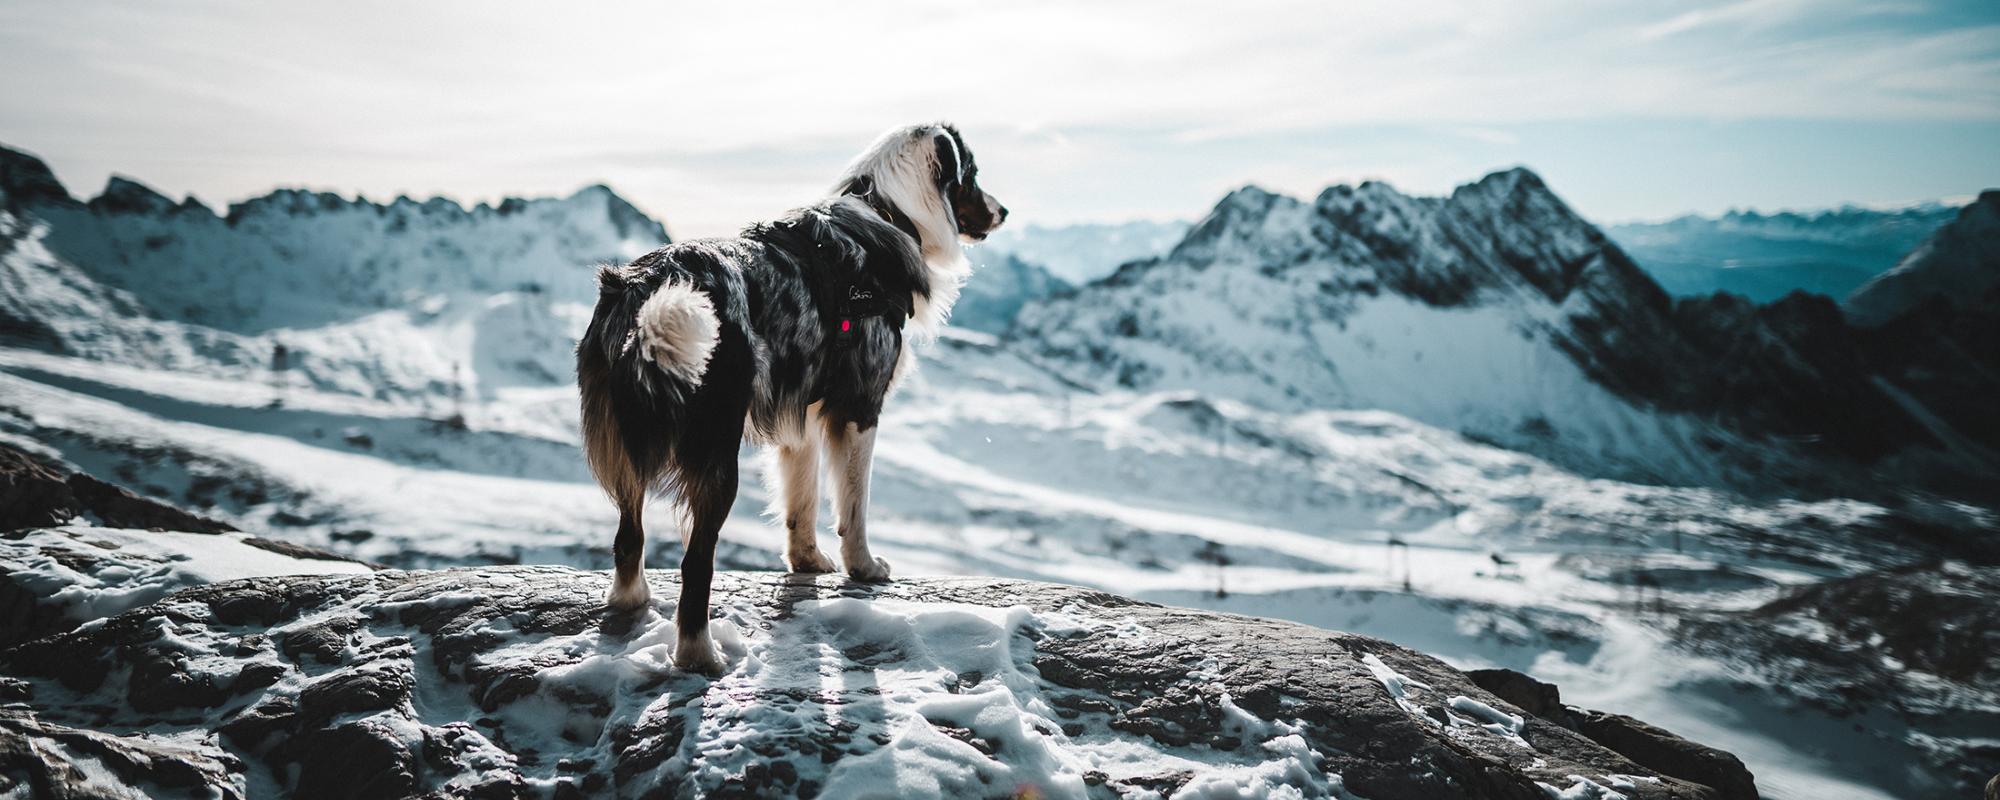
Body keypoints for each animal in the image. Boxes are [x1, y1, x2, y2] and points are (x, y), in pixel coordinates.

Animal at [572, 123, 1008, 676]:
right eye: (971, 174)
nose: (1003, 210)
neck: (889, 210)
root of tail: (646, 288)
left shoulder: (798, 410)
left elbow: (801, 499)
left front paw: (808, 562)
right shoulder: (860, 406)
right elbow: (854, 504)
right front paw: (864, 567)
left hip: (625, 441)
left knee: (629, 537)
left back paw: (632, 600)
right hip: (716, 452)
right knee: (696, 564)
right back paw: (700, 655)